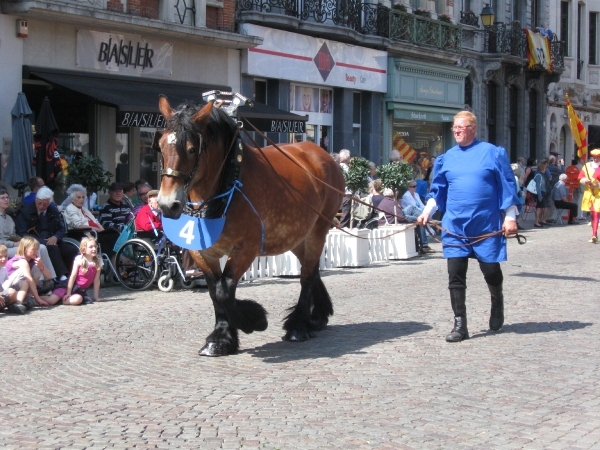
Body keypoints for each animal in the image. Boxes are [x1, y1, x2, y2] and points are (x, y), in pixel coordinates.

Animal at [155, 96, 344, 356]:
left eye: (192, 149)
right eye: (161, 146)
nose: (167, 204)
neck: (227, 185)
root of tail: (322, 155)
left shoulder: (245, 249)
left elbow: (225, 290)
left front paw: (252, 320)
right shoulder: (202, 253)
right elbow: (215, 291)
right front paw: (221, 338)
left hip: (318, 230)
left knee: (306, 276)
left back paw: (298, 326)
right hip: (297, 236)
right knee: (313, 270)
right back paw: (316, 316)